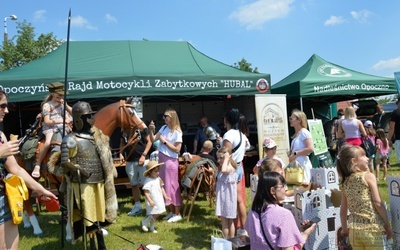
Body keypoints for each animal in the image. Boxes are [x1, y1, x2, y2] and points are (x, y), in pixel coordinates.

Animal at [19, 97, 147, 236]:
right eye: (131, 113)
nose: (144, 129)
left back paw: (27, 223)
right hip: (30, 177)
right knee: (27, 200)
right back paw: (36, 228)